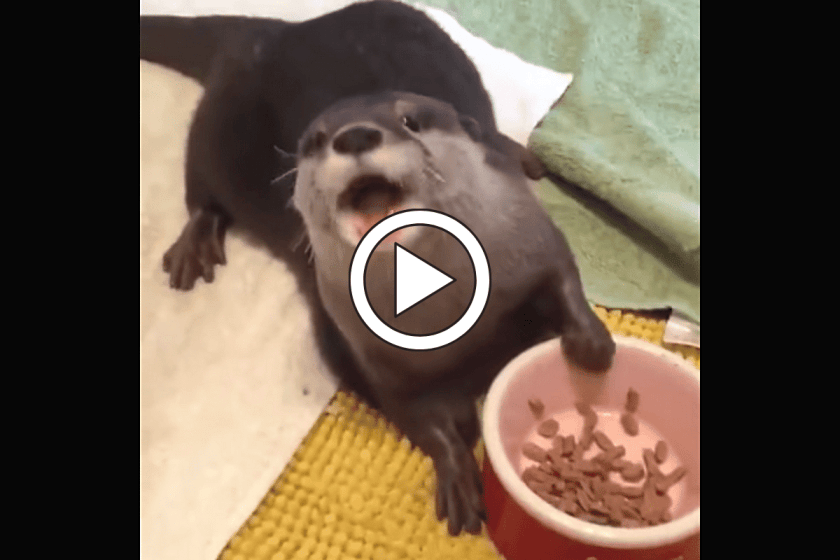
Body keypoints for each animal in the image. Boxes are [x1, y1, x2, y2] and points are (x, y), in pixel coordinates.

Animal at [292, 91, 615, 536]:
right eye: (316, 140)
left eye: (409, 120)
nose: (354, 135)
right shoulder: (379, 366)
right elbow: (419, 420)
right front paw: (457, 473)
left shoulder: (530, 234)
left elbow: (563, 274)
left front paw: (591, 341)